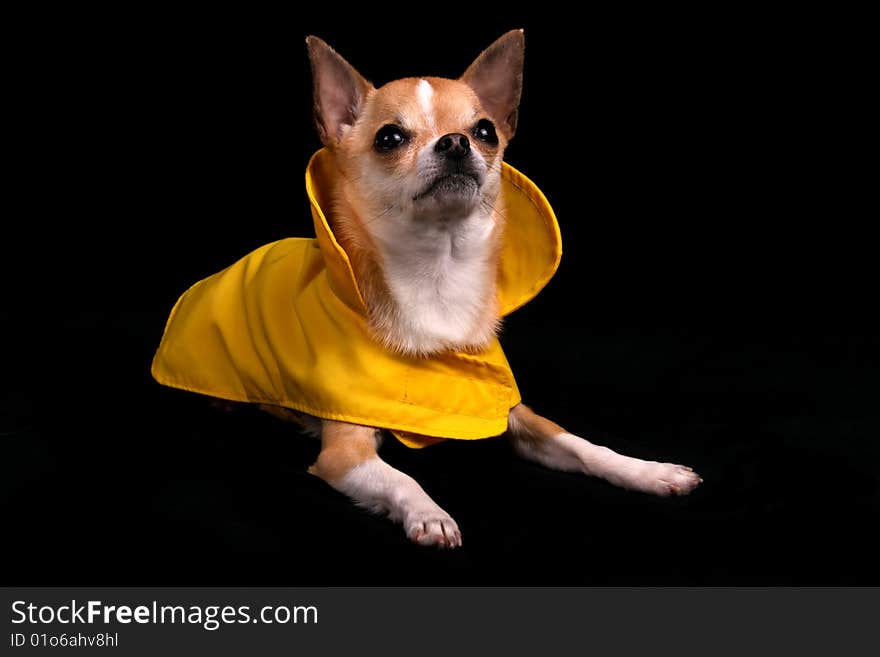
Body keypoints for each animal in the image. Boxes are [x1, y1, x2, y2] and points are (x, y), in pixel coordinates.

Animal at [153, 30, 700, 544]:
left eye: (485, 131)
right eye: (390, 137)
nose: (456, 142)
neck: (439, 276)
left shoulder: (512, 412)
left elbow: (584, 446)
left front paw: (648, 471)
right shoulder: (344, 453)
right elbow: (402, 479)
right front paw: (429, 514)